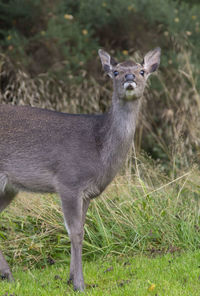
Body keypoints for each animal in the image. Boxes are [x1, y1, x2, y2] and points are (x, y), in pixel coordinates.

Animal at [0, 47, 160, 290]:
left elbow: (81, 229)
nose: (129, 77)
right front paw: (79, 284)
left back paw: (8, 275)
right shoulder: (68, 181)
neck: (98, 149)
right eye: (115, 71)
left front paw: (70, 278)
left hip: (9, 188)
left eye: (142, 71)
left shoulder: (87, 193)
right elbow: (75, 232)